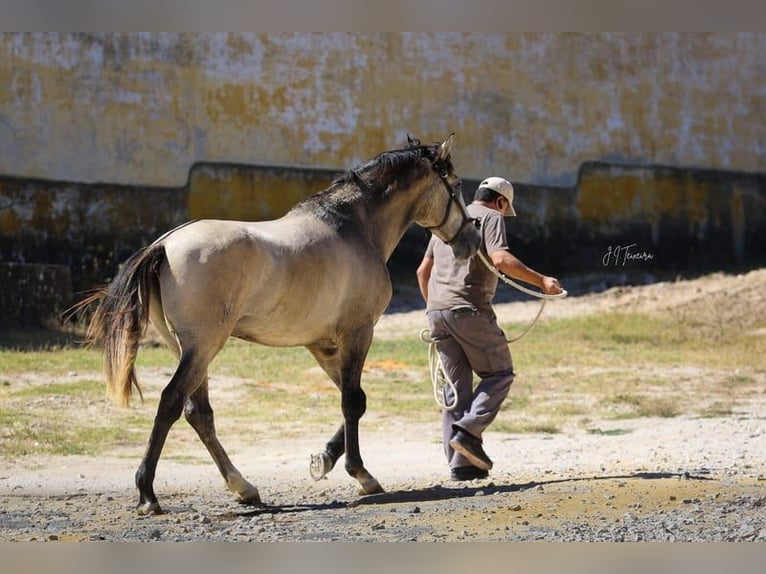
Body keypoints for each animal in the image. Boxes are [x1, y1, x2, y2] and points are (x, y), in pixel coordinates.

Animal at [82, 135, 480, 516]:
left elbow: (357, 399)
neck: (355, 228)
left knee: (199, 414)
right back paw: (148, 494)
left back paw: (243, 488)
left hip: (189, 349)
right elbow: (352, 402)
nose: (472, 240)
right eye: (457, 184)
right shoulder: (358, 333)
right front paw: (361, 475)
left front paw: (324, 460)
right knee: (171, 403)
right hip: (202, 347)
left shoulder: (322, 344)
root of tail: (164, 245)